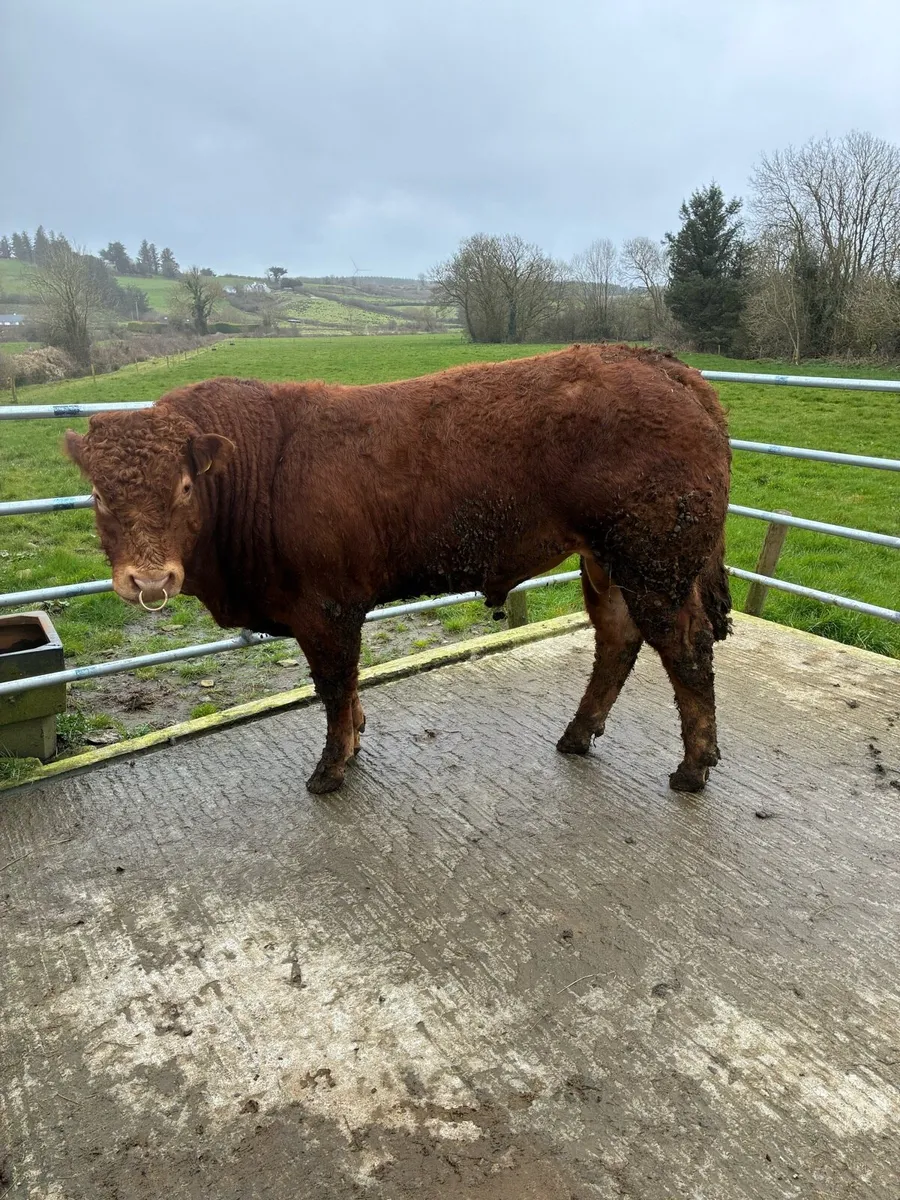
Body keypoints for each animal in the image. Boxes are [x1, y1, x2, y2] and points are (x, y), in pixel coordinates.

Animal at [64, 344, 732, 796]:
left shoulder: (325, 610)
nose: (150, 581)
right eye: (97, 494)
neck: (260, 468)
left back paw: (692, 766)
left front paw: (332, 766)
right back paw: (577, 735)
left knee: (687, 649)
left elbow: (334, 685)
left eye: (182, 487)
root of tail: (662, 365)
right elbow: (349, 685)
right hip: (606, 564)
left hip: (655, 566)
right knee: (617, 639)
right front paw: (356, 739)